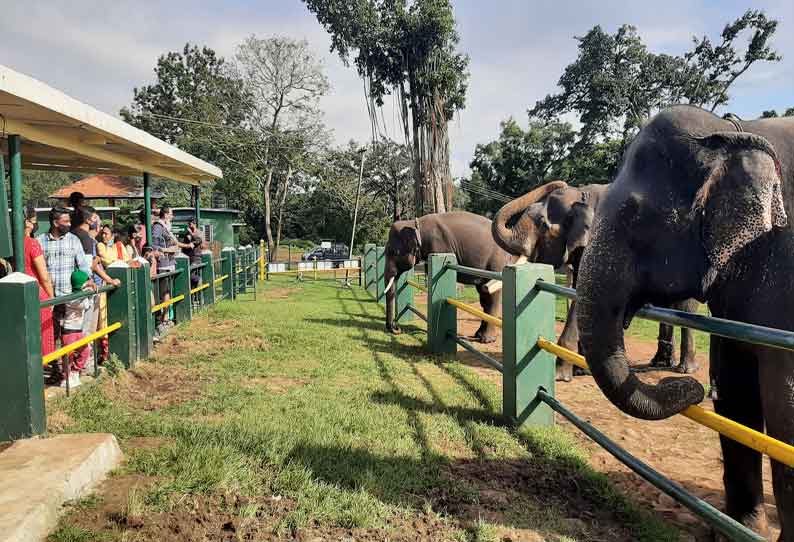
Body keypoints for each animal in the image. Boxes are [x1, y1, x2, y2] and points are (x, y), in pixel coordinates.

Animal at [382, 212, 508, 344]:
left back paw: (486, 339)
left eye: (395, 252)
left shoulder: (439, 247)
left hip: (496, 263)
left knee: (492, 295)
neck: (415, 223)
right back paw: (478, 335)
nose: (397, 328)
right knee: (484, 294)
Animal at [488, 181, 700, 380]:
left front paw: (561, 375)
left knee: (686, 309)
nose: (561, 182)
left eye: (542, 224)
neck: (584, 195)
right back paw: (660, 362)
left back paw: (686, 369)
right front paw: (582, 369)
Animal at [576, 105, 792, 540]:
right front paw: (736, 531)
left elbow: (785, 404)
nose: (688, 388)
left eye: (636, 216)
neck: (736, 130)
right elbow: (735, 385)